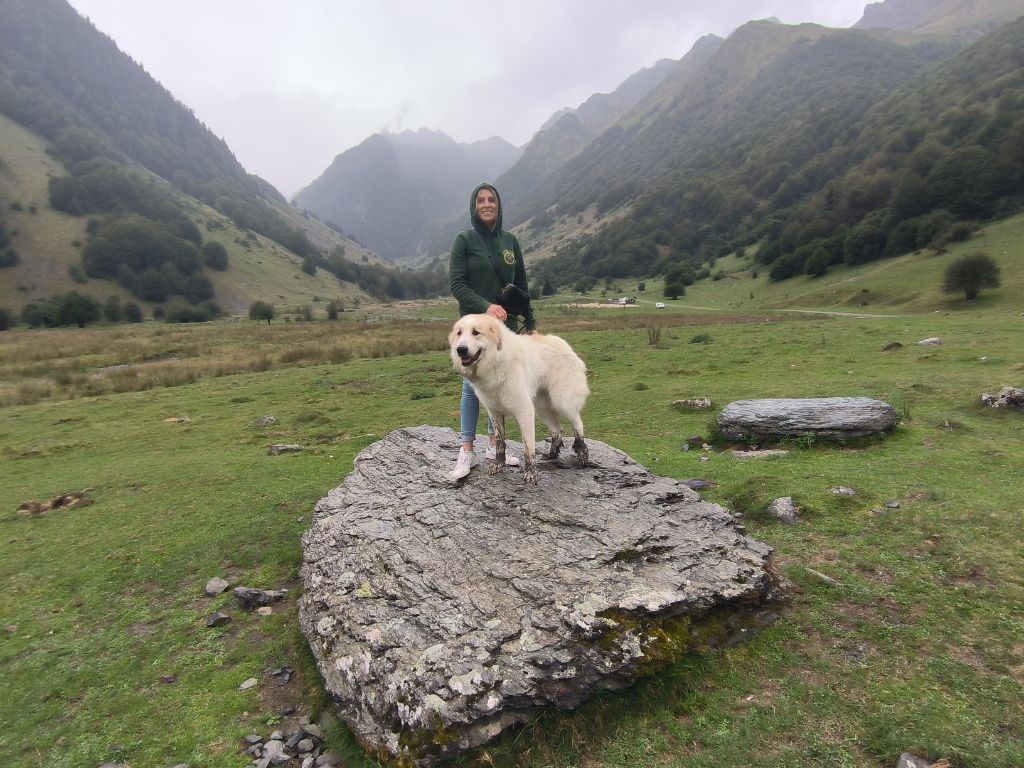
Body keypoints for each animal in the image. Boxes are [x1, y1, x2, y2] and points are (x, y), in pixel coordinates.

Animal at [450, 313, 593, 483]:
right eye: (459, 333)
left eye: (476, 332)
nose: (460, 349)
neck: (496, 361)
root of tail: (564, 344)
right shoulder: (495, 412)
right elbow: (500, 442)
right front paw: (498, 466)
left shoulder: (524, 411)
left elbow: (528, 448)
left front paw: (531, 474)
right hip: (542, 407)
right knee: (557, 429)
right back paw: (552, 453)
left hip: (562, 402)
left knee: (578, 424)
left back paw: (582, 453)